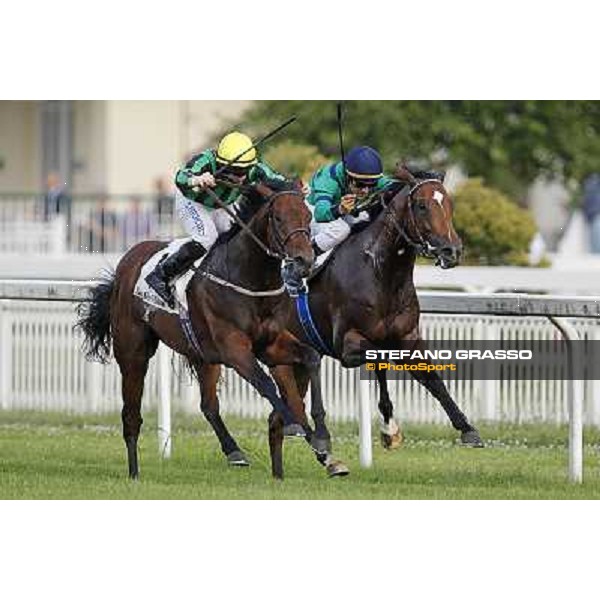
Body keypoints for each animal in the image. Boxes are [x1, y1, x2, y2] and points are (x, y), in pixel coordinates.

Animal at [75, 180, 330, 480]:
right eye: (278, 218)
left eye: (308, 217)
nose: (304, 260)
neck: (247, 278)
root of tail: (126, 264)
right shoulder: (234, 349)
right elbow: (265, 383)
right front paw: (294, 425)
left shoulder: (270, 344)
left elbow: (311, 357)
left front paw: (321, 437)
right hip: (133, 351)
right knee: (131, 415)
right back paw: (134, 473)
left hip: (202, 354)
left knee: (208, 405)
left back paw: (234, 451)